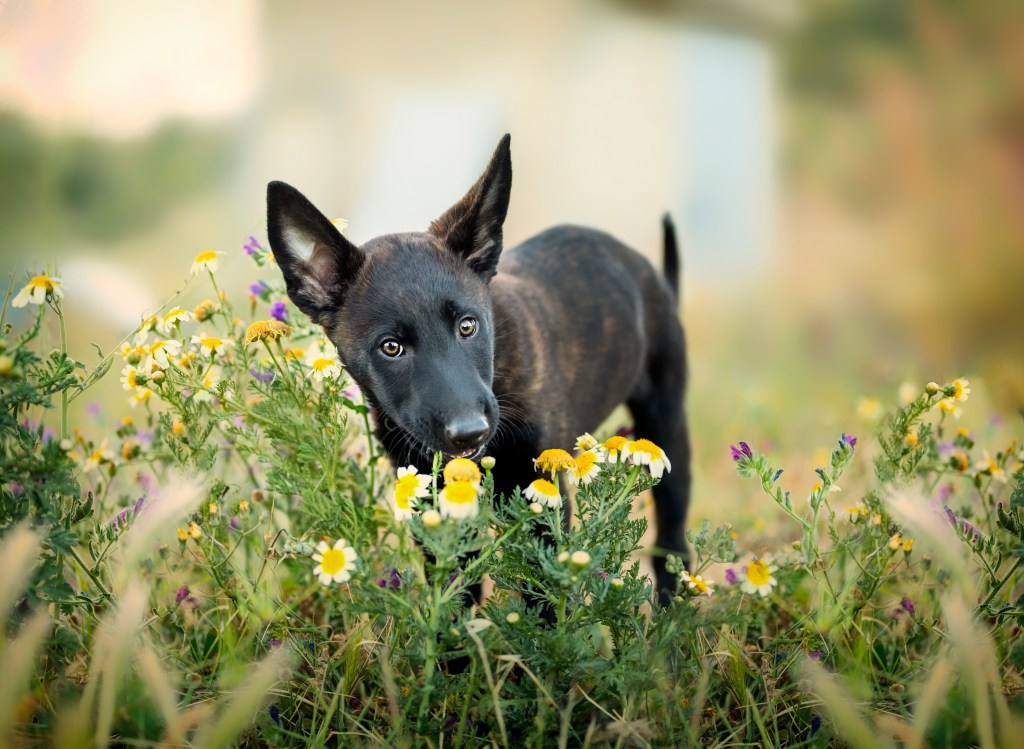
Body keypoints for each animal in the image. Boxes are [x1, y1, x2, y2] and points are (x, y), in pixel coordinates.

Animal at [268, 135, 692, 602]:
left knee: (673, 539)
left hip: (667, 423)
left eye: (467, 326)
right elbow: (453, 598)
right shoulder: (433, 508)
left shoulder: (541, 500)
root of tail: (650, 273)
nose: (469, 432)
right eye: (391, 348)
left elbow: (543, 600)